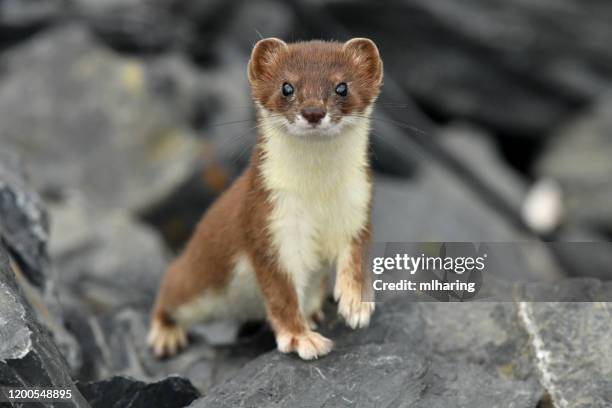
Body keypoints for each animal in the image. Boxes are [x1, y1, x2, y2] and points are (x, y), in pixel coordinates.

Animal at [147, 36, 382, 358]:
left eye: (342, 86)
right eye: (287, 86)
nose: (312, 111)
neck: (318, 196)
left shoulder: (358, 203)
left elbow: (357, 253)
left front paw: (356, 302)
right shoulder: (269, 219)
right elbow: (280, 291)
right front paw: (301, 338)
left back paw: (313, 311)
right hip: (196, 278)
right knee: (171, 285)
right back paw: (165, 334)